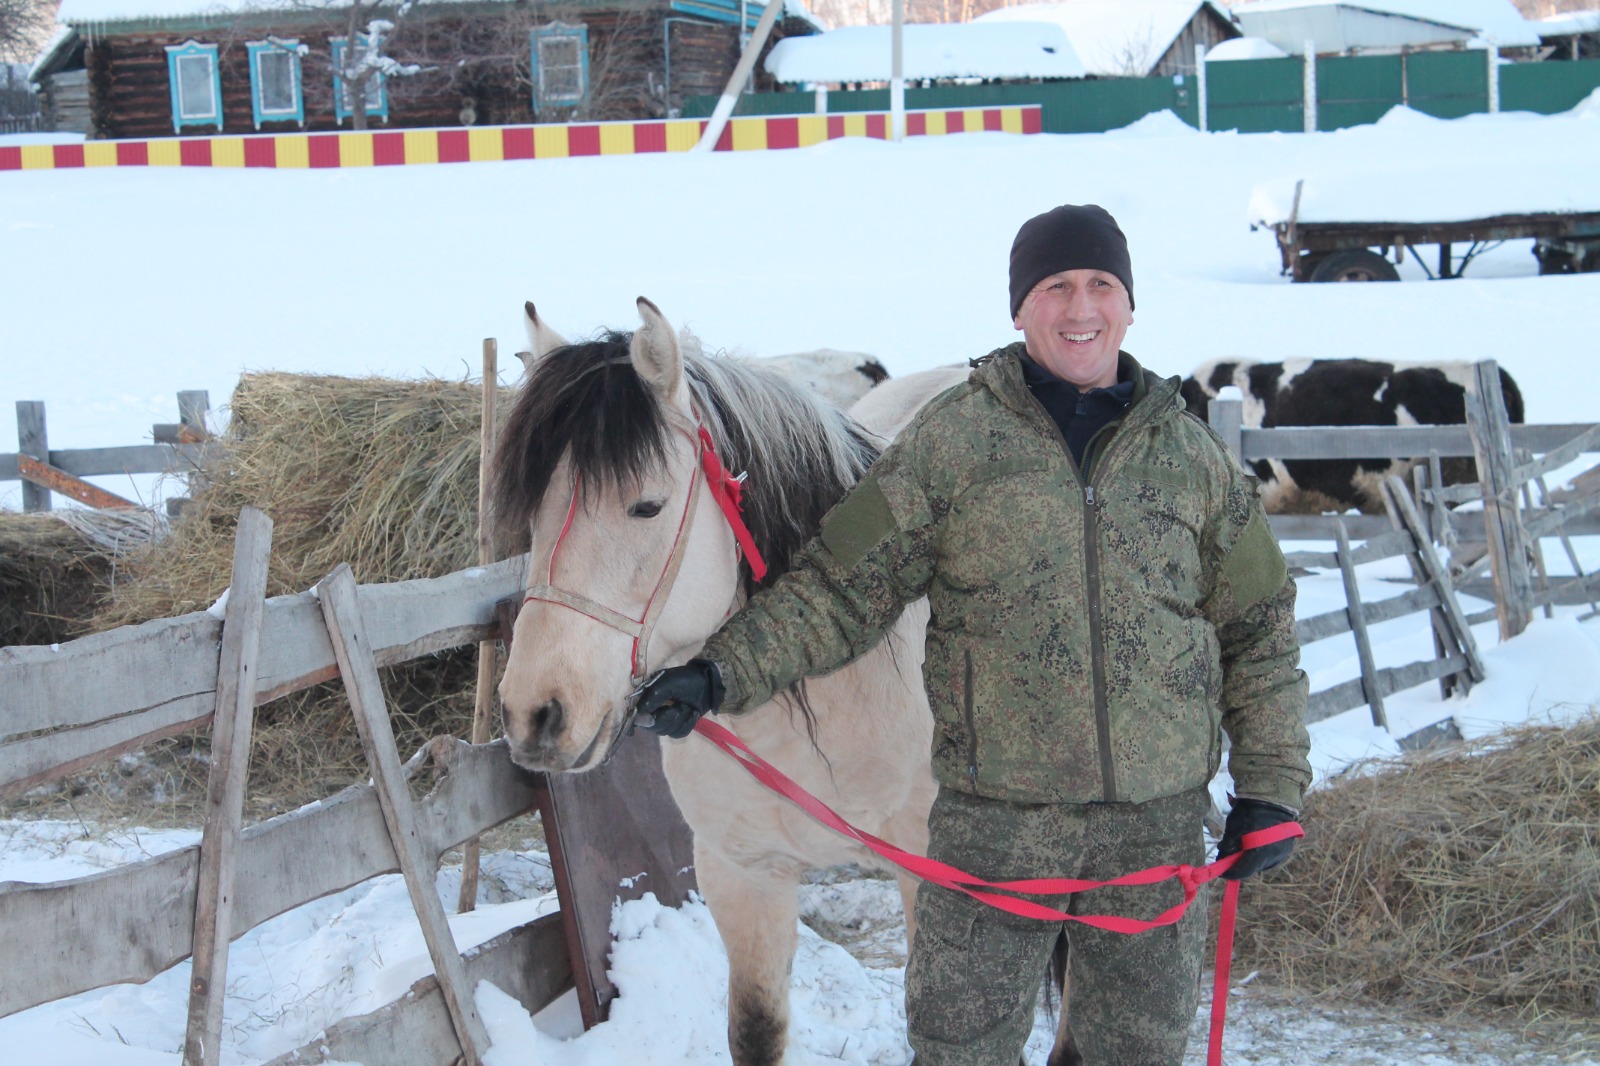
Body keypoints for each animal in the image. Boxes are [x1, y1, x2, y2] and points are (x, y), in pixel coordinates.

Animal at [486, 296, 1062, 1062]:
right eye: (534, 512)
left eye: (647, 505)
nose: (535, 714)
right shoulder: (742, 875)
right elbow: (756, 1032)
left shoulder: (937, 884)